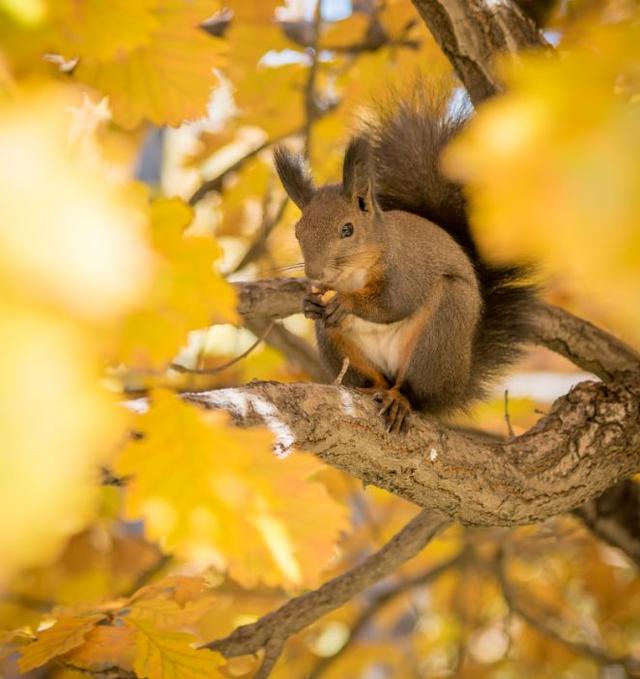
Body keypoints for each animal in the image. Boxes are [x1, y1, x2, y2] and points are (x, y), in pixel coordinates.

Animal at [272, 87, 536, 432]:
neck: (354, 274)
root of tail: (456, 387)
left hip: (440, 333)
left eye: (347, 229)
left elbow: (393, 303)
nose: (315, 274)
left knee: (415, 391)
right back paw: (368, 387)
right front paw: (309, 304)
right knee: (374, 379)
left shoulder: (405, 269)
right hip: (338, 345)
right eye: (298, 231)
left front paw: (346, 302)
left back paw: (401, 400)